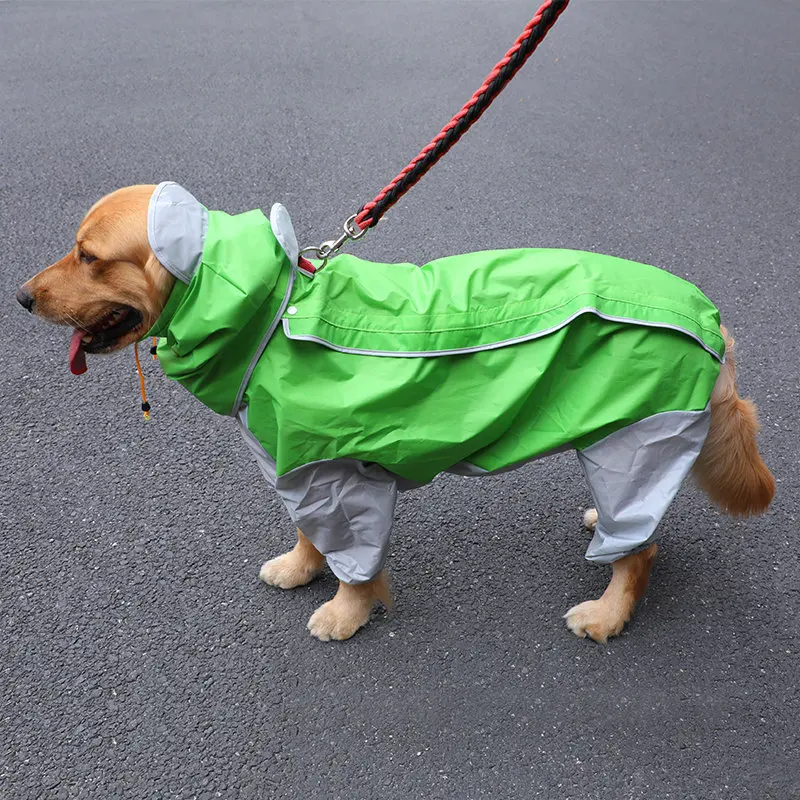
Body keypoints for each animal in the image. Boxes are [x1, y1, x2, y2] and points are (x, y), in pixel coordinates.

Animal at [15, 186, 772, 644]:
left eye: (89, 256)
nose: (20, 296)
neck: (273, 314)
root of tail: (712, 319)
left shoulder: (338, 475)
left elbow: (355, 560)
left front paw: (344, 613)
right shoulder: (297, 465)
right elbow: (309, 533)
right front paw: (300, 568)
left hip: (641, 438)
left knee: (638, 548)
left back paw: (607, 612)